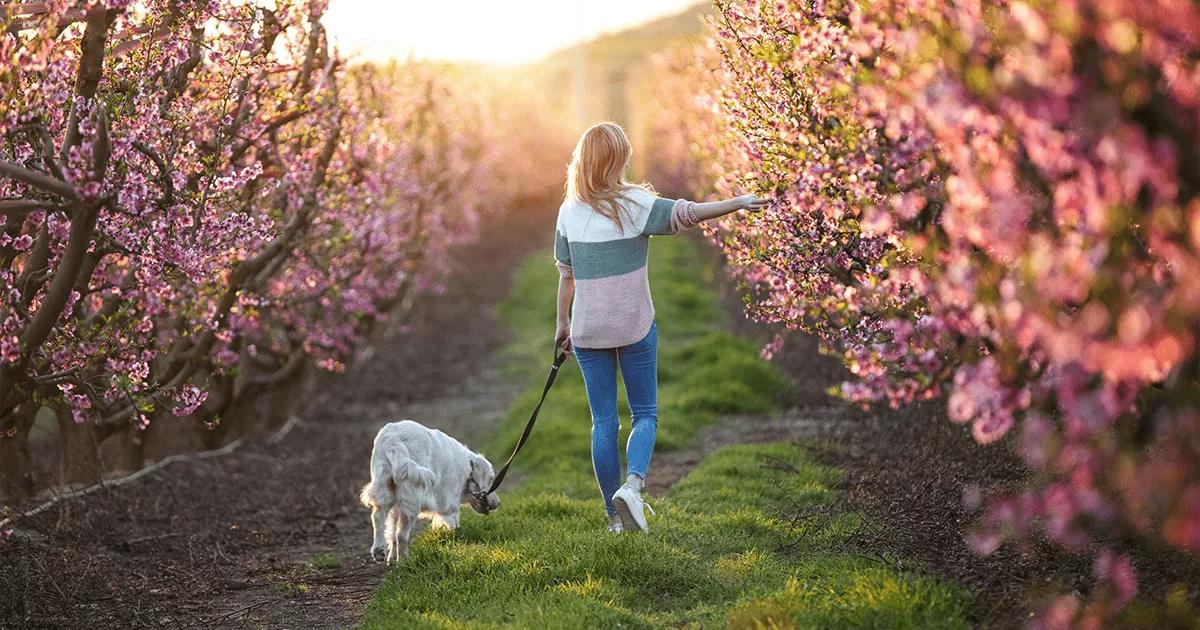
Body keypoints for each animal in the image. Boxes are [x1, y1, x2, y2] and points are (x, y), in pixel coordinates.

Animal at [360, 417, 501, 559]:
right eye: (491, 478)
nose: (498, 503)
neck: (467, 468)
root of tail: (395, 442)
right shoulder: (450, 504)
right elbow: (453, 525)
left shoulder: (396, 505)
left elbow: (392, 531)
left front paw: (392, 557)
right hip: (412, 499)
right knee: (402, 535)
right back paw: (404, 560)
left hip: (384, 487)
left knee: (378, 517)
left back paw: (379, 549)